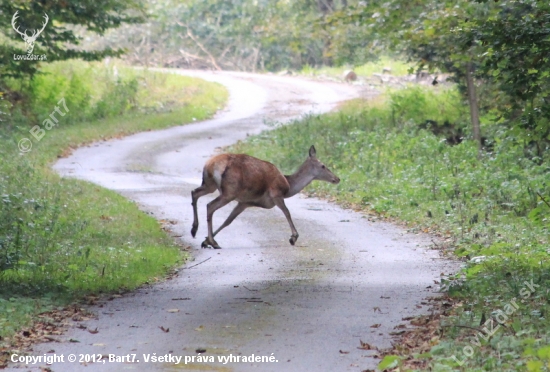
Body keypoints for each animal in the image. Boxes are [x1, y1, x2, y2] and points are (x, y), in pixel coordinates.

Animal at [193, 145, 340, 247]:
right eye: (323, 166)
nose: (337, 179)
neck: (288, 186)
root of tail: (210, 165)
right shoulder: (276, 194)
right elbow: (287, 212)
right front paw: (293, 237)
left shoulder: (245, 202)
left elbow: (228, 221)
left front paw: (205, 241)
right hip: (230, 191)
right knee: (210, 205)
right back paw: (211, 241)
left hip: (210, 184)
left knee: (195, 193)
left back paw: (196, 231)